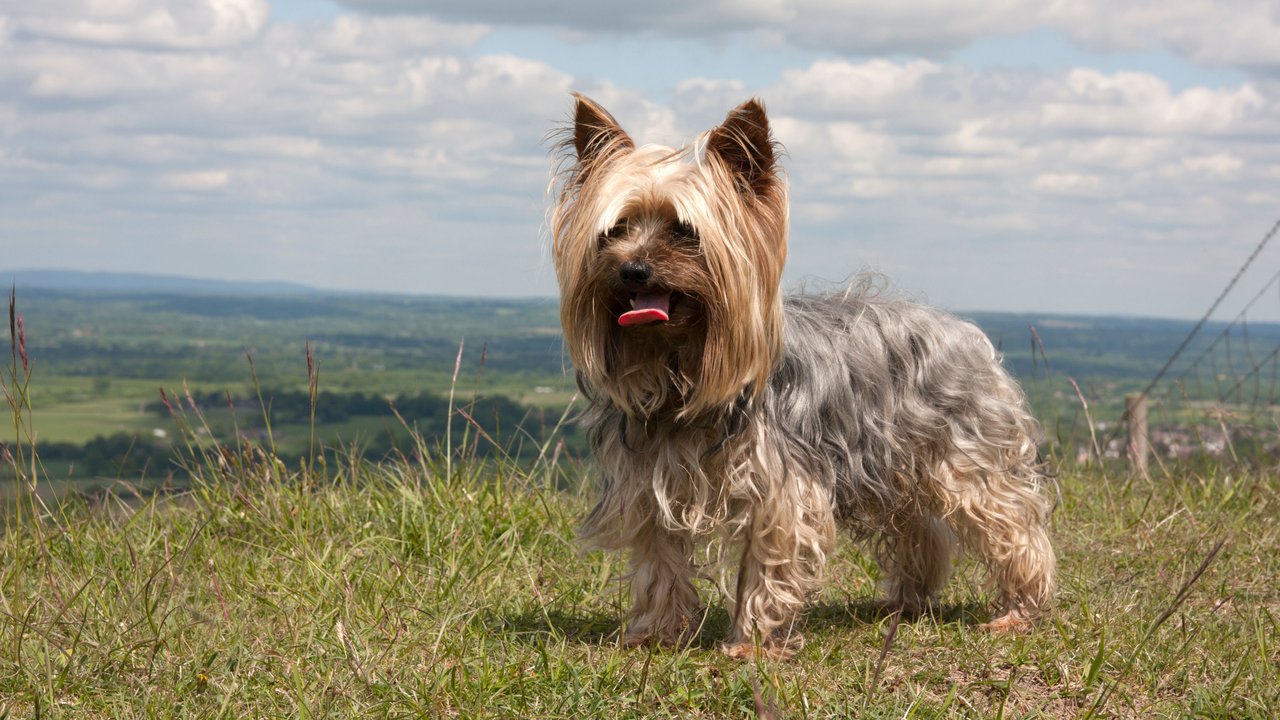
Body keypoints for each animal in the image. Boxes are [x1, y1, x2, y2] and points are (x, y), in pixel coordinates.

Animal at [545, 90, 1054, 655]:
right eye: (614, 231)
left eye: (684, 231)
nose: (632, 269)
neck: (680, 371)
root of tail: (966, 332)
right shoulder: (649, 482)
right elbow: (659, 557)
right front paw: (656, 634)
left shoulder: (780, 487)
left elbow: (768, 558)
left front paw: (750, 644)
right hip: (894, 465)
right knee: (918, 528)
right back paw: (906, 601)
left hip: (965, 457)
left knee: (1011, 523)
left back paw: (1017, 611)